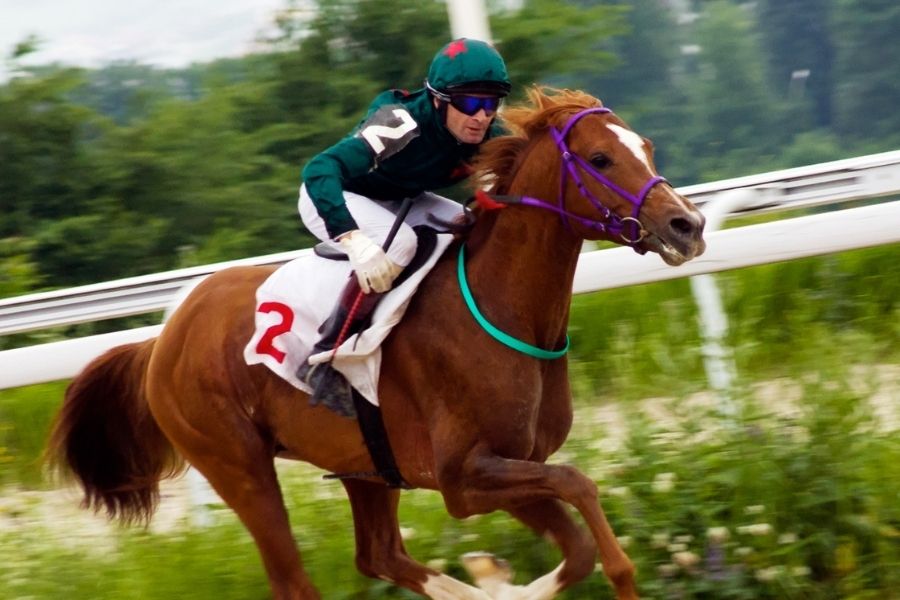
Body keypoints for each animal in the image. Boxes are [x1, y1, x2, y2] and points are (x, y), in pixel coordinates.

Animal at [47, 85, 704, 600]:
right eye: (600, 157)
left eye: (645, 147)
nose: (688, 225)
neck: (501, 309)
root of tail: (161, 341)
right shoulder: (464, 477)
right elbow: (580, 488)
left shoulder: (513, 466)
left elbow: (578, 547)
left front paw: (497, 579)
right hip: (238, 465)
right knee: (294, 580)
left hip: (364, 464)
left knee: (378, 555)